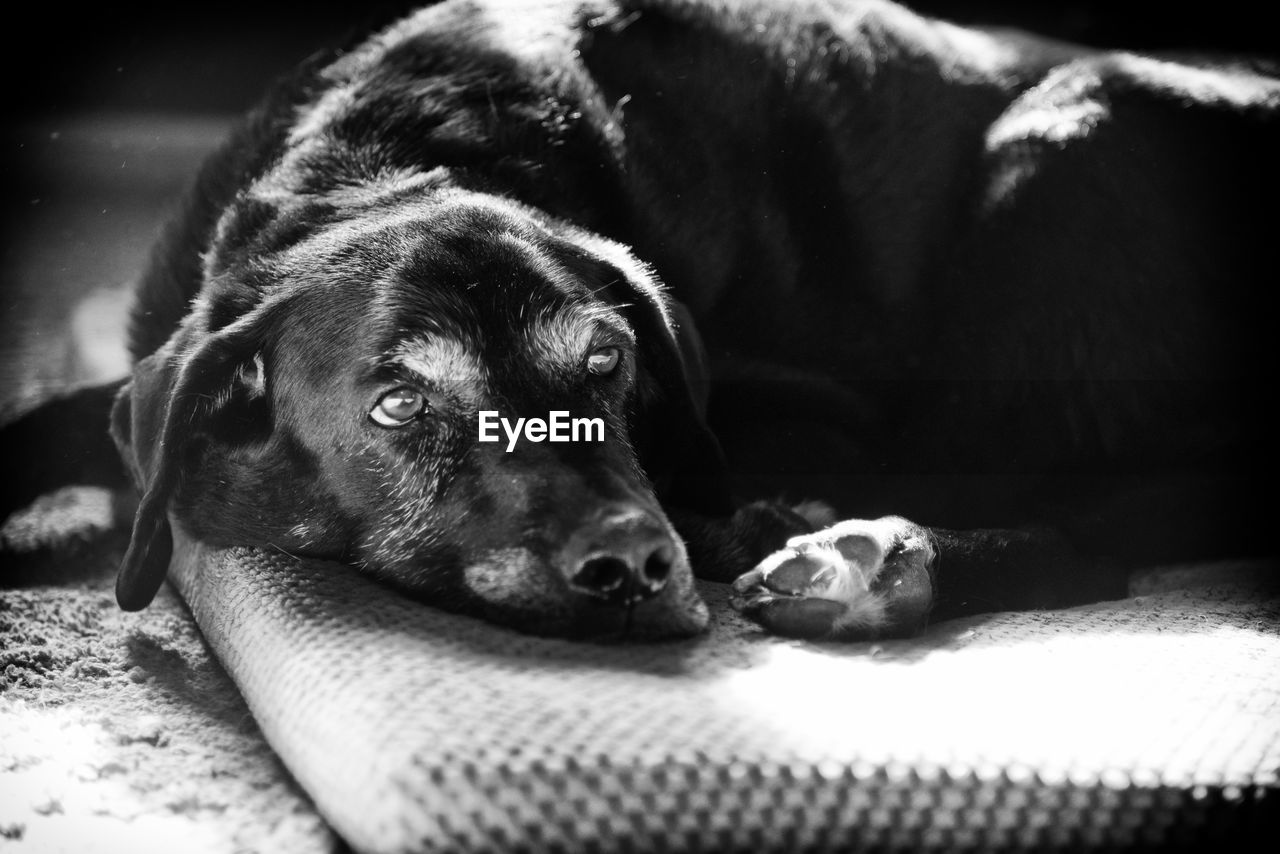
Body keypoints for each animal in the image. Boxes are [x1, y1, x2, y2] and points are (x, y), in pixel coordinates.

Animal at [0, 1, 1274, 640]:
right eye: (398, 402)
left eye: (606, 361)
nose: (630, 564)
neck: (385, 157)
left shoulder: (822, 413)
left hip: (1062, 136)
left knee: (1086, 531)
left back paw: (866, 559)